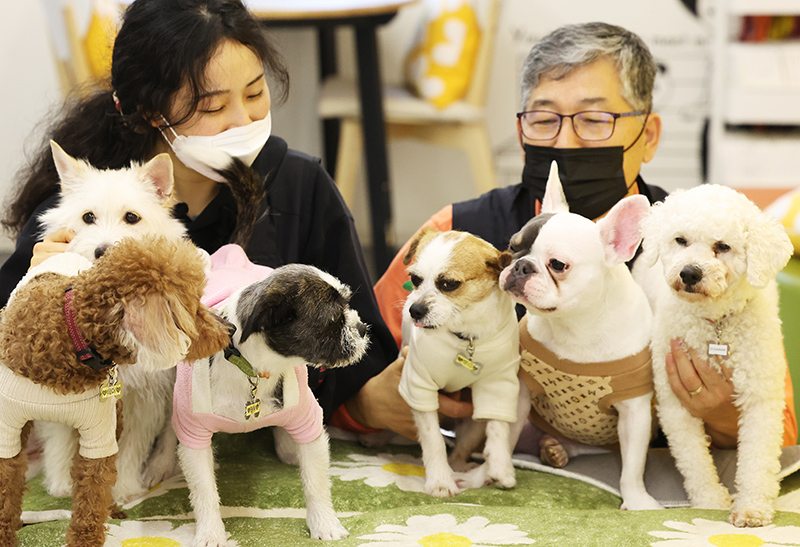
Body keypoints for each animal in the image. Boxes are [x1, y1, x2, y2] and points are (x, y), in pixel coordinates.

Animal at [396, 229, 516, 498]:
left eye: (448, 284)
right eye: (414, 279)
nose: (414, 310)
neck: (465, 335)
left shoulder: (498, 386)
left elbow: (498, 427)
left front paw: (502, 467)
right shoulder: (419, 386)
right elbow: (433, 440)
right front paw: (440, 481)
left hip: (473, 422)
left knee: (461, 447)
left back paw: (461, 465)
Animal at [644, 186, 792, 528]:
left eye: (722, 247)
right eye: (680, 240)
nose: (689, 273)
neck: (715, 322)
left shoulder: (761, 398)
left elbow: (757, 459)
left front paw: (751, 508)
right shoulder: (673, 403)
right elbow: (694, 460)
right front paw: (709, 501)